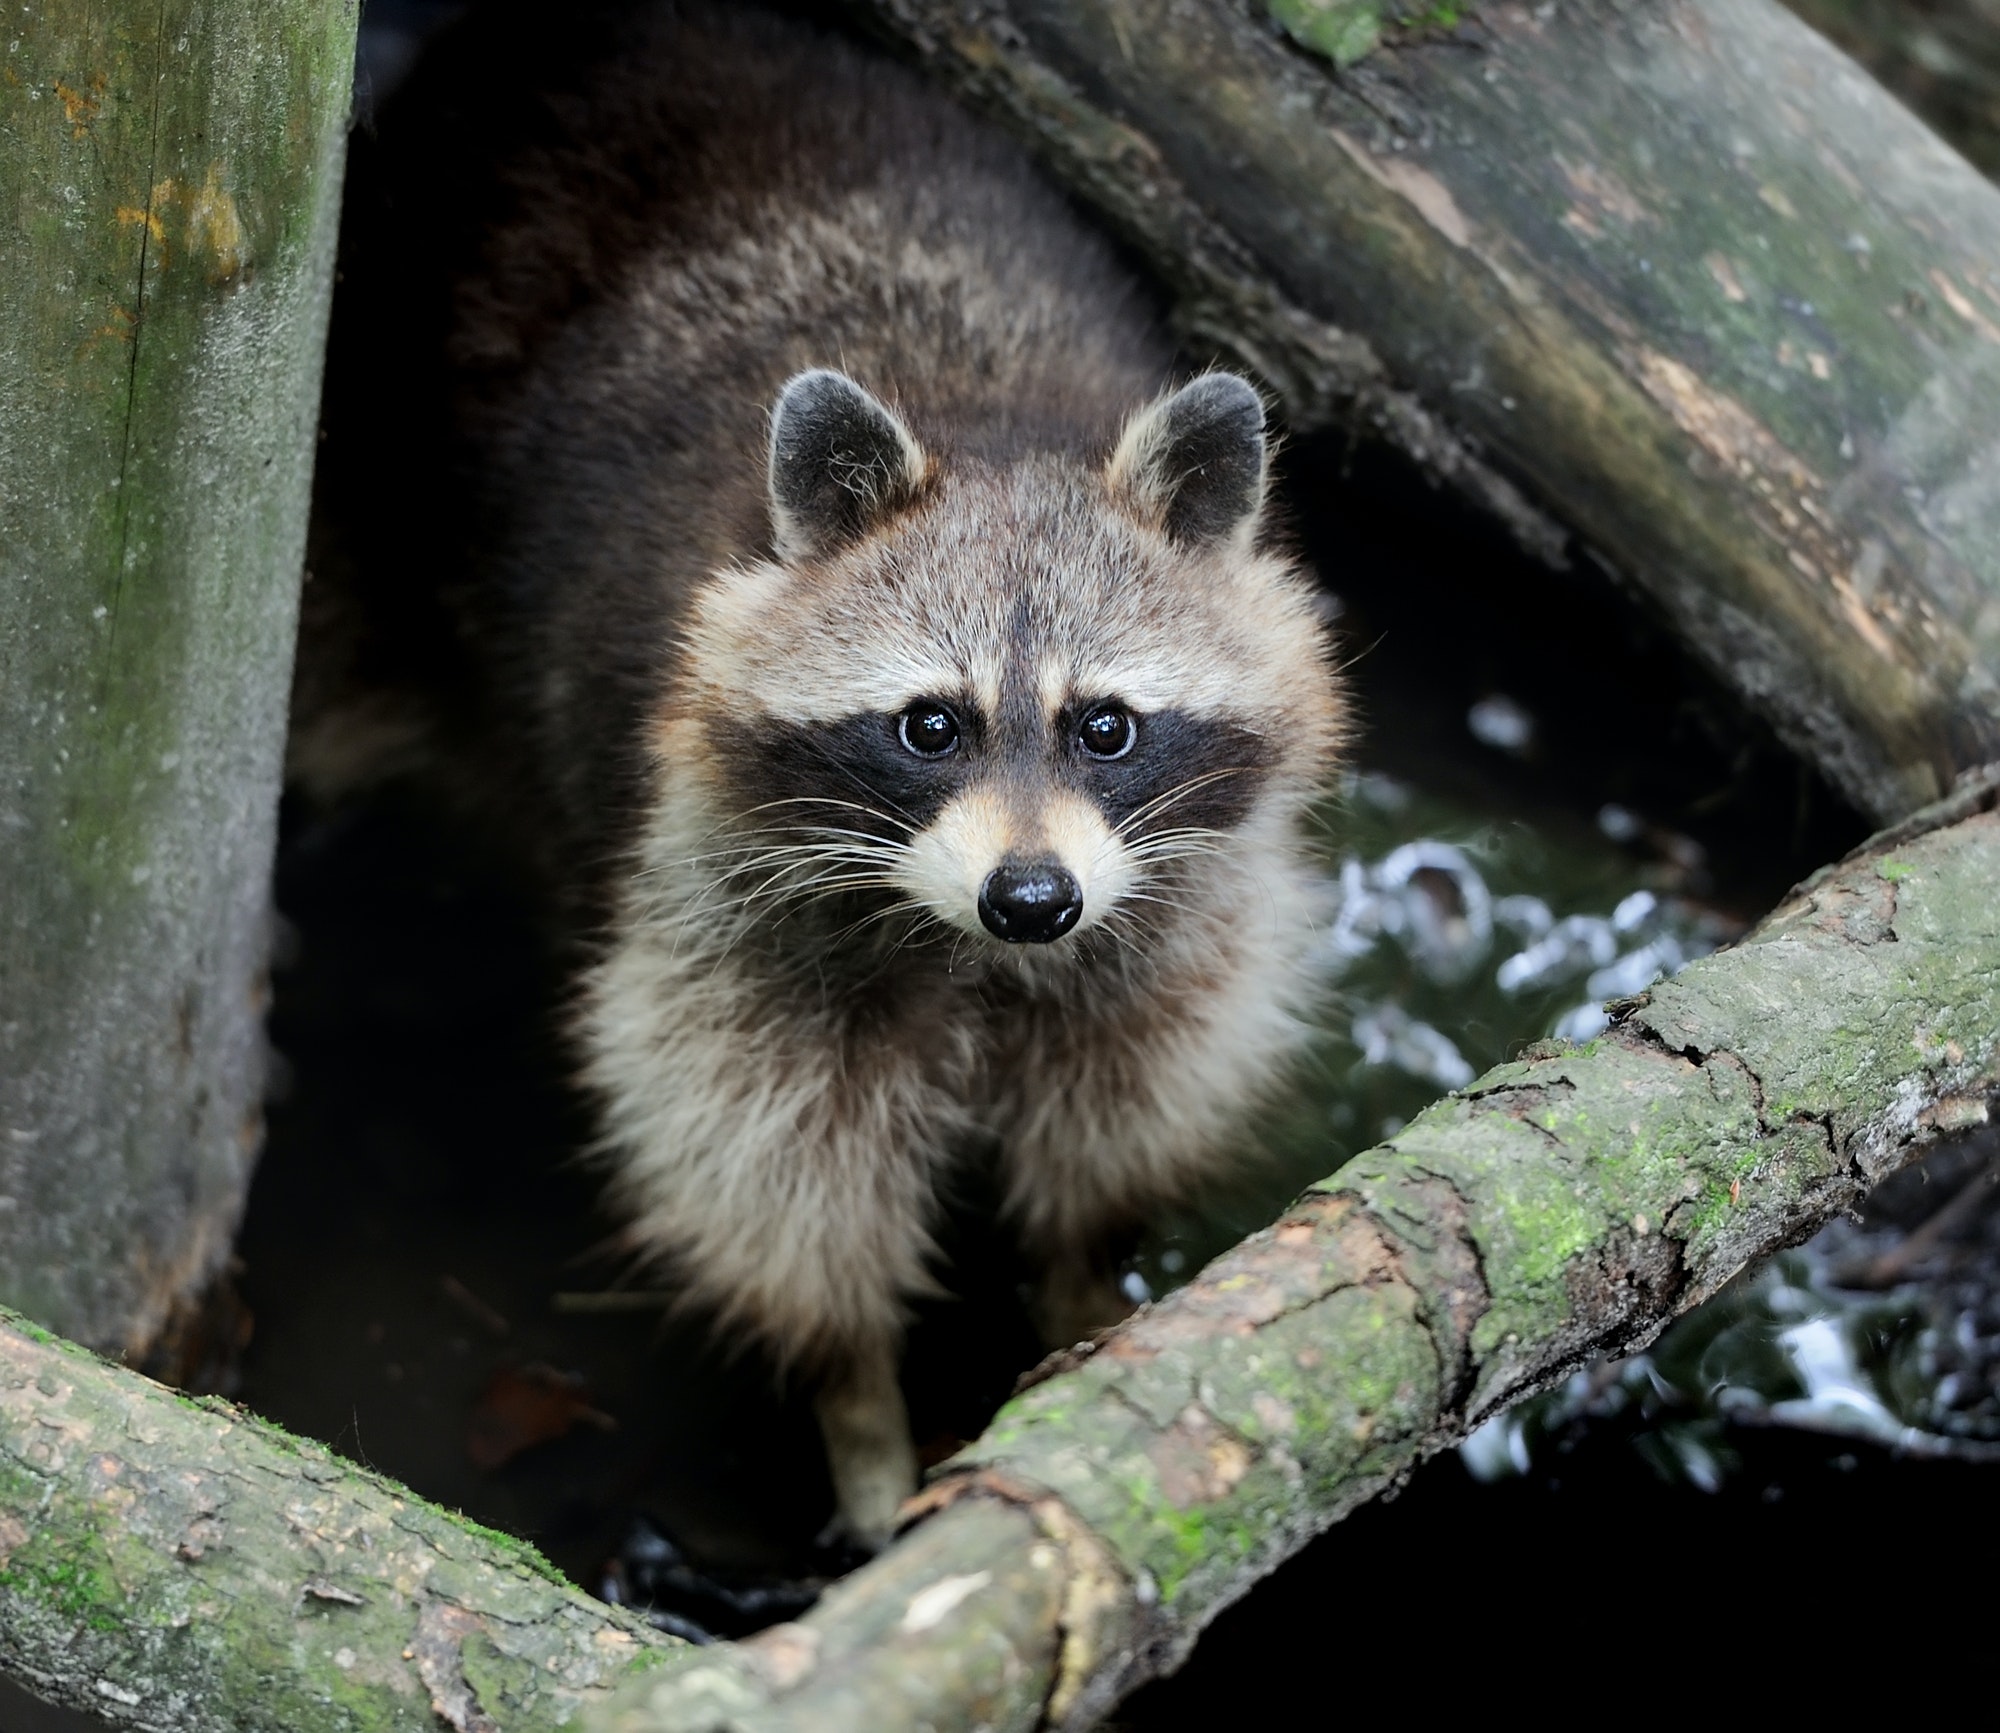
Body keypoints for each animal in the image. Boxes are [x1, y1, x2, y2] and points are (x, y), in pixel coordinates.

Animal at [308, 0, 1344, 1536]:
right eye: (931, 727)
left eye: (1105, 726)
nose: (1030, 901)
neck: (989, 429)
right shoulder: (710, 897)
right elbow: (768, 1166)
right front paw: (860, 1410)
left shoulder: (1170, 902)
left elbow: (1130, 1090)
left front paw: (1085, 1286)